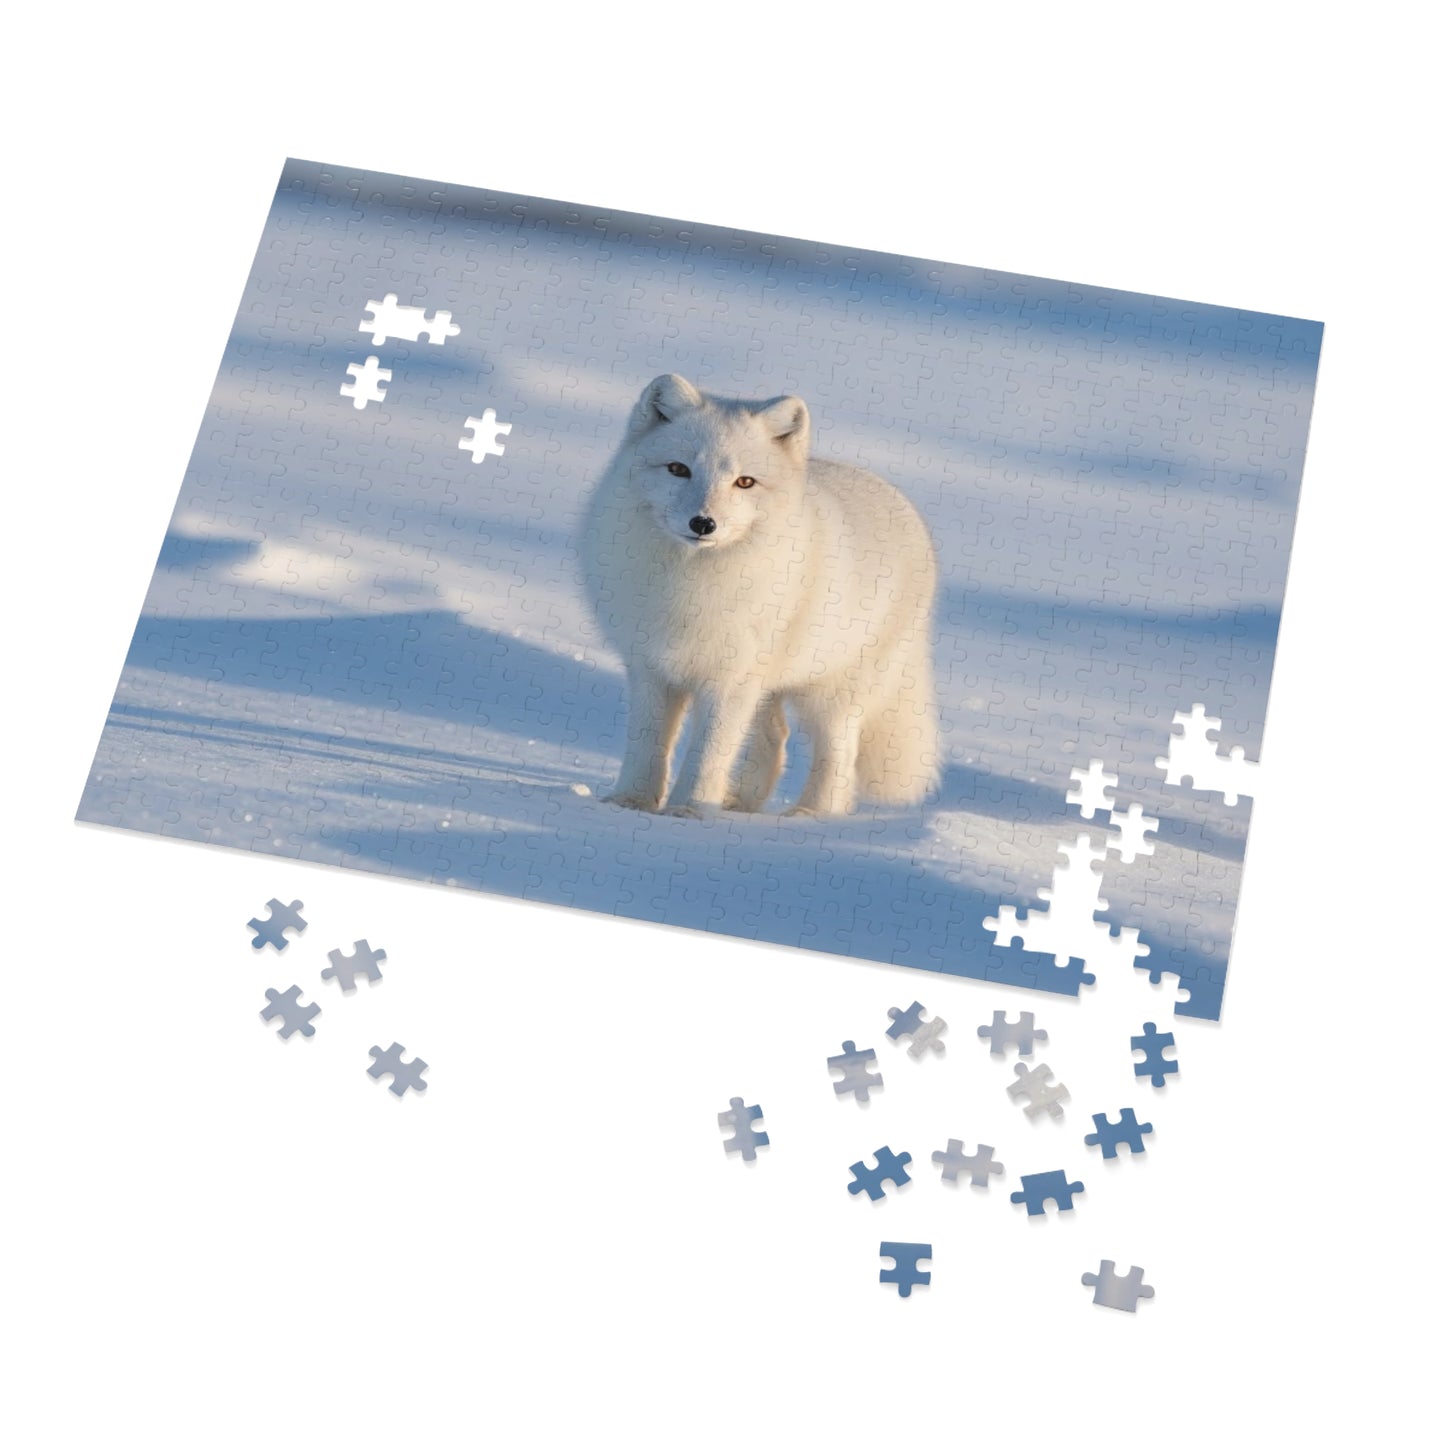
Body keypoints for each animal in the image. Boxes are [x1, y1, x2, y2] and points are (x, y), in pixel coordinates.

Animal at [579, 373, 939, 817]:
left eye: (744, 482)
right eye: (679, 469)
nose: (703, 523)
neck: (691, 583)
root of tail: (904, 505)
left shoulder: (729, 681)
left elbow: (709, 752)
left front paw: (689, 809)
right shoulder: (652, 668)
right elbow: (648, 745)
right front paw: (631, 803)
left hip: (830, 690)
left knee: (839, 752)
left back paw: (811, 815)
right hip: (768, 687)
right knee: (774, 736)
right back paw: (739, 804)